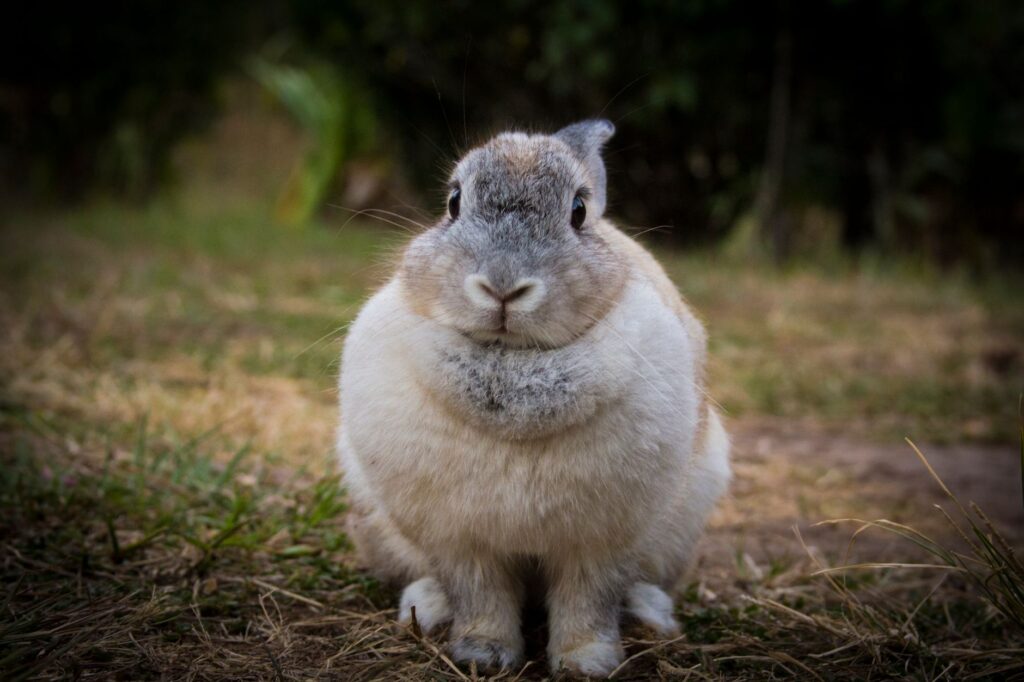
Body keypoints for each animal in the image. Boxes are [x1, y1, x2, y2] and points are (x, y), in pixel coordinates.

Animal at [337, 119, 731, 678]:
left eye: (579, 211)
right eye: (453, 201)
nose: (502, 286)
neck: (511, 363)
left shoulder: (601, 543)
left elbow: (588, 601)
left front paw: (587, 663)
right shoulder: (461, 542)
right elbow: (481, 597)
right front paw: (482, 654)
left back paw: (649, 612)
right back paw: (427, 606)